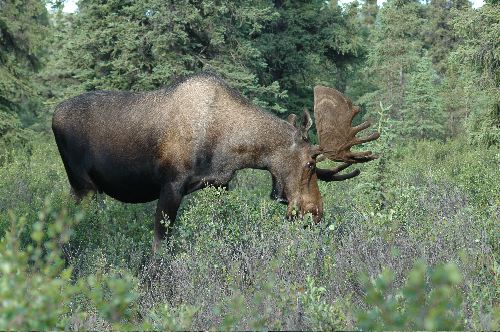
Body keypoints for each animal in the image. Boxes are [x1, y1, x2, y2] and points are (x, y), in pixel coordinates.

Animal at [52, 72, 378, 249]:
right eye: (311, 162)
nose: (315, 213)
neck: (231, 147)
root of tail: (53, 116)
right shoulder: (171, 184)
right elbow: (159, 246)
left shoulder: (218, 184)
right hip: (81, 184)